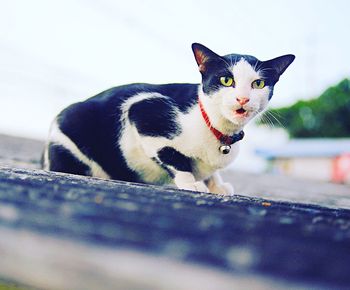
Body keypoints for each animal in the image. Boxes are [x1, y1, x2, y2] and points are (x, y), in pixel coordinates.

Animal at [41, 43, 296, 195]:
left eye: (258, 84)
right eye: (226, 80)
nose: (242, 98)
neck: (217, 129)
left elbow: (211, 171)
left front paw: (216, 184)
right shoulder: (143, 110)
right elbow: (174, 157)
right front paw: (191, 182)